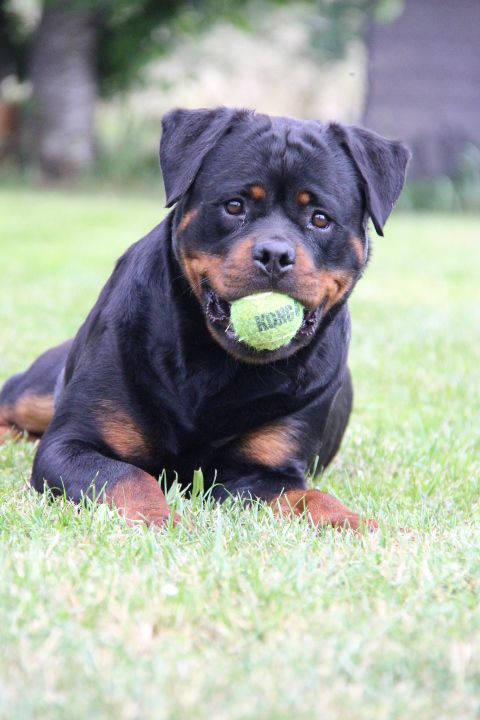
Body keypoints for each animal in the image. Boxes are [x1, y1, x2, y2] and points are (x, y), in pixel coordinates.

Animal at [0, 109, 408, 532]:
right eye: (234, 205)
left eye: (320, 218)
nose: (275, 254)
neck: (215, 366)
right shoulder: (70, 444)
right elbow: (129, 478)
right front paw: (162, 520)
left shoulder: (265, 472)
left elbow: (311, 497)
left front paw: (359, 525)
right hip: (39, 391)